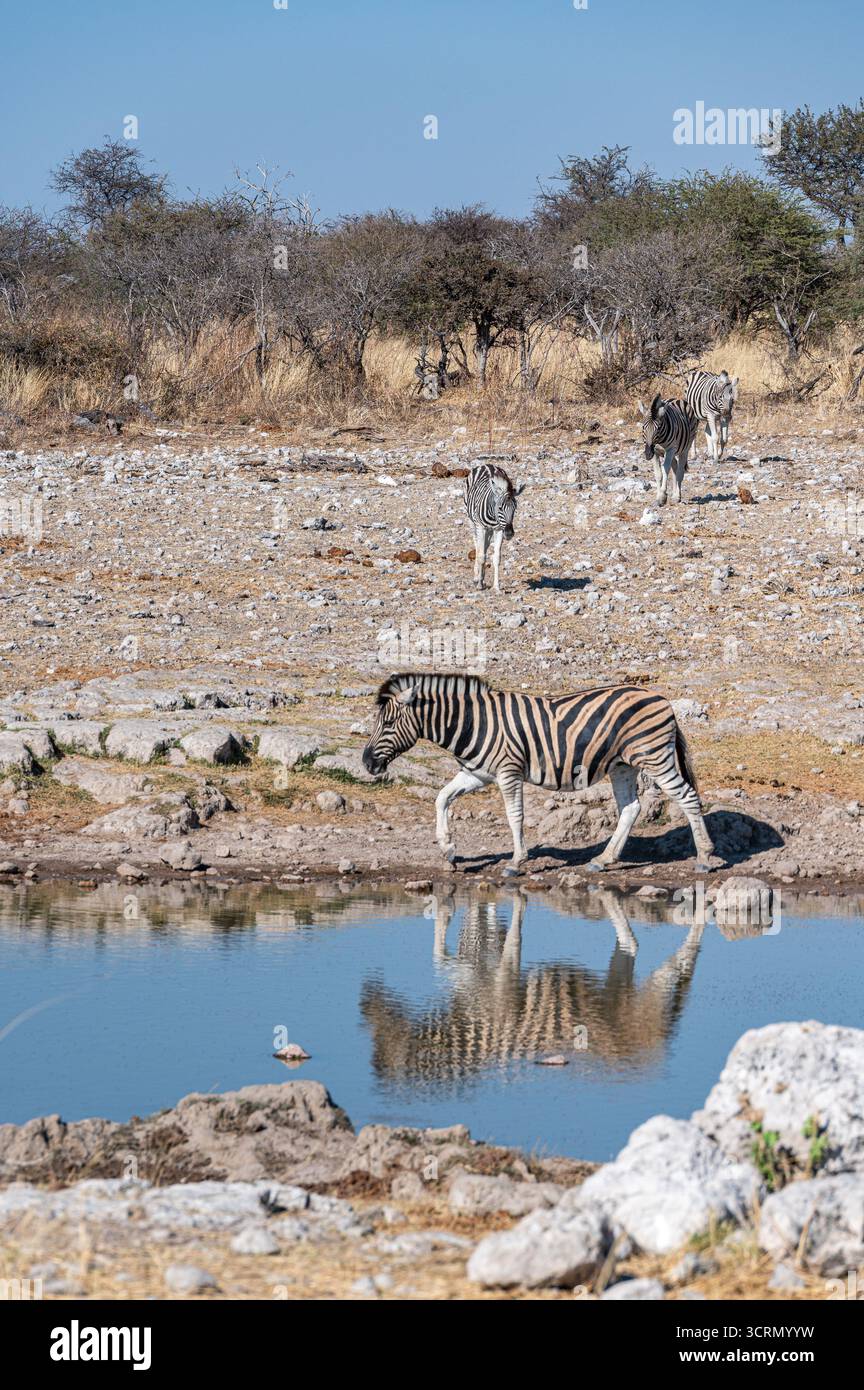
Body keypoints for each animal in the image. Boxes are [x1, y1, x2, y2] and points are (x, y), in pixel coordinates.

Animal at [362, 672, 716, 875]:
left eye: (388, 723)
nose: (366, 763)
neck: (475, 723)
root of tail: (662, 698)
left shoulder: (508, 771)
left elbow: (514, 815)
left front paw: (517, 861)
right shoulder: (478, 773)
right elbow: (441, 798)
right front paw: (448, 850)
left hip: (654, 756)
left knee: (687, 797)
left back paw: (704, 856)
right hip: (622, 765)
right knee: (631, 808)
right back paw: (603, 860)